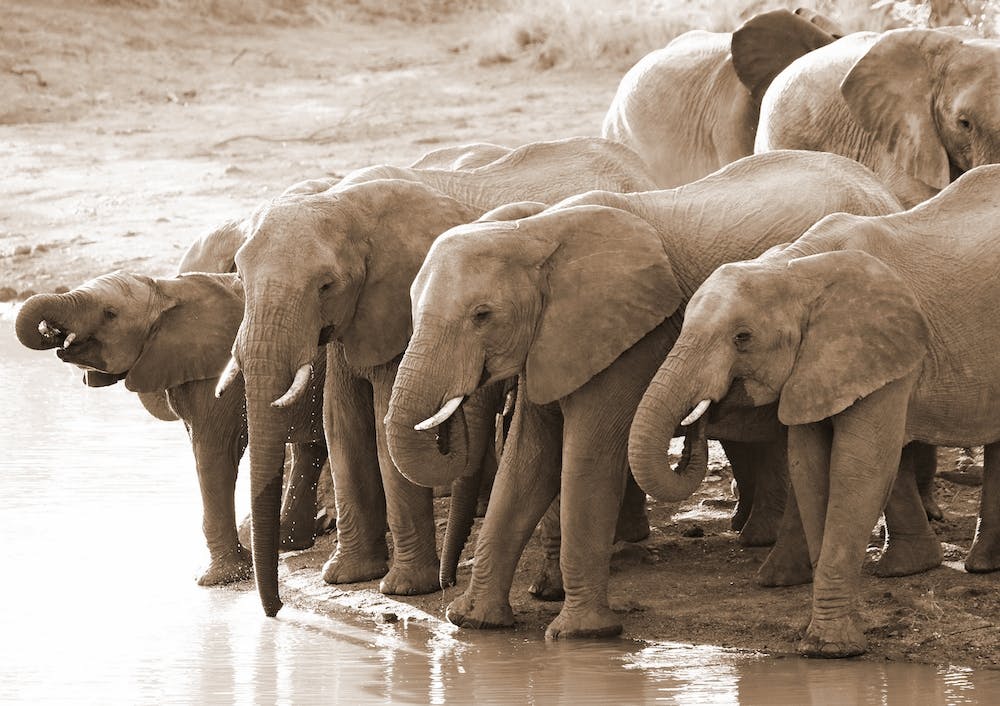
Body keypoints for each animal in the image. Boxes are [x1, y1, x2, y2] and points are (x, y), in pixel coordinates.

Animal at [223, 136, 660, 617]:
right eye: (239, 275)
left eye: (325, 285)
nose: (274, 611)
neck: (343, 201)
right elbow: (342, 423)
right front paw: (346, 576)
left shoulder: (397, 310)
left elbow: (381, 428)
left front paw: (404, 588)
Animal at [383, 149, 901, 640]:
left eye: (482, 315)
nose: (445, 588)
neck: (535, 231)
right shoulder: (553, 340)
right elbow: (528, 460)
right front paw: (475, 623)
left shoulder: (629, 337)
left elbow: (587, 457)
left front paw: (579, 634)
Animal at [627, 164, 1000, 657]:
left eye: (742, 338)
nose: (700, 417)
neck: (796, 267)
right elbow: (809, 465)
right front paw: (827, 637)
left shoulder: (883, 349)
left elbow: (859, 467)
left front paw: (831, 648)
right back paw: (969, 565)